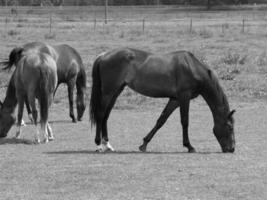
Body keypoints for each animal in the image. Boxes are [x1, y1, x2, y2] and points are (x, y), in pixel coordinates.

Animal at [90, 48, 237, 153]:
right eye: (230, 127)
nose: (232, 149)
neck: (192, 68)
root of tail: (103, 55)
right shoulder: (184, 97)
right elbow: (185, 121)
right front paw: (189, 146)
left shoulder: (175, 100)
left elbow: (161, 120)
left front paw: (144, 144)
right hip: (108, 92)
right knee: (101, 114)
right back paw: (98, 144)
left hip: (116, 91)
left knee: (106, 116)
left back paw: (107, 144)